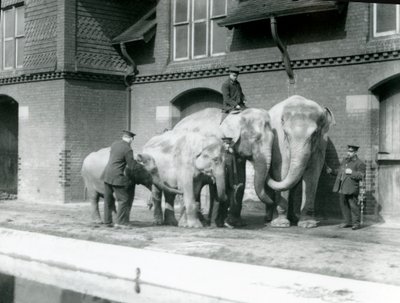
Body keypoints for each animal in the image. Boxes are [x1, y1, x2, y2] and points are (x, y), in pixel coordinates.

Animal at [264, 95, 336, 228]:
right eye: (286, 133)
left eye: (315, 134)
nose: (330, 170)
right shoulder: (278, 143)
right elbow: (282, 171)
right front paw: (280, 224)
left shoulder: (321, 143)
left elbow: (312, 174)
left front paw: (307, 224)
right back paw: (268, 219)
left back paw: (293, 218)